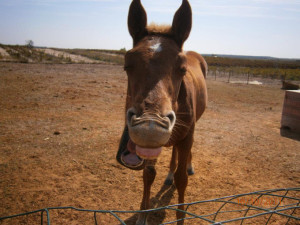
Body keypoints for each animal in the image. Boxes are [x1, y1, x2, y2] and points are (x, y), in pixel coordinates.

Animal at [116, 0, 207, 223]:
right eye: (127, 65)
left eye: (182, 68)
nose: (150, 127)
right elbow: (148, 175)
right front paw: (143, 216)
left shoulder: (187, 136)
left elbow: (182, 179)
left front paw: (180, 218)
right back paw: (168, 175)